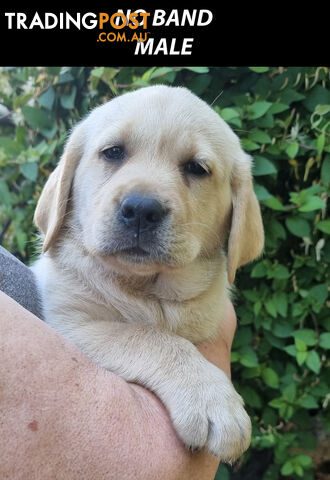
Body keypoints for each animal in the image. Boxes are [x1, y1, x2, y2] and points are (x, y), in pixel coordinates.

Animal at [32, 85, 264, 462]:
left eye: (197, 168)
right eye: (113, 152)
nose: (141, 209)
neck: (146, 288)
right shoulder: (73, 322)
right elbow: (148, 337)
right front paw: (211, 397)